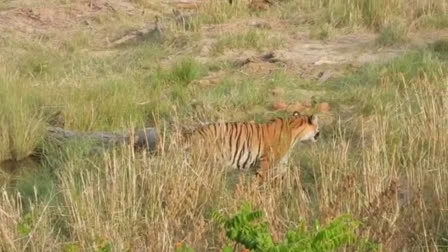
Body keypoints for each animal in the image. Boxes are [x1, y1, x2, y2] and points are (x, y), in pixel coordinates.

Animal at [182, 111, 318, 184]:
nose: (319, 134)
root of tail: (193, 133)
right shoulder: (266, 162)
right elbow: (258, 182)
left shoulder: (281, 163)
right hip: (204, 163)